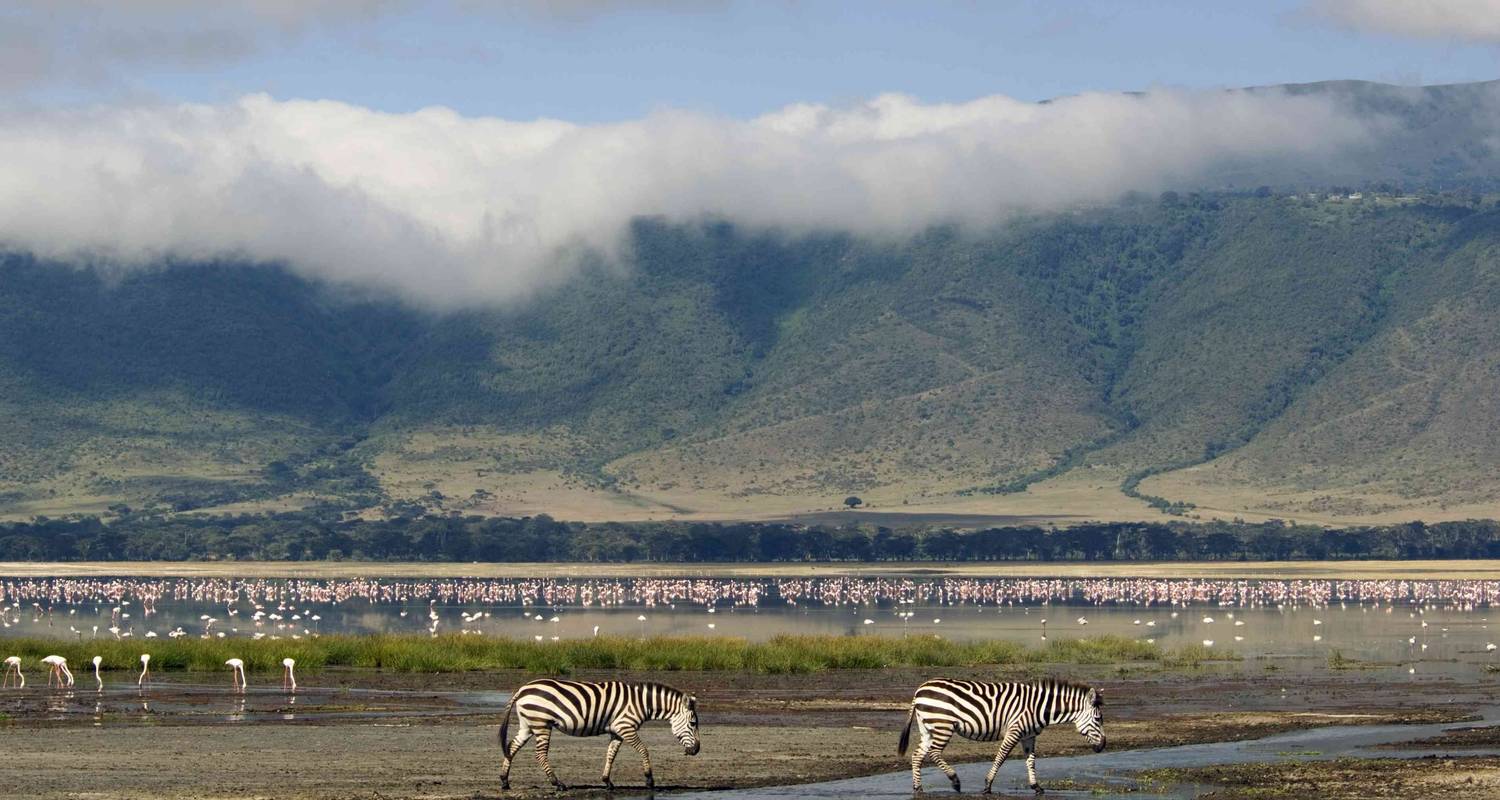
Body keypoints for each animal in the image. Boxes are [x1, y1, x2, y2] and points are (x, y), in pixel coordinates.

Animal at [498, 675, 696, 786]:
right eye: (693, 723)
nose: (696, 750)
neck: (641, 703)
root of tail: (522, 689)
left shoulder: (617, 731)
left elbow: (611, 755)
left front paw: (607, 781)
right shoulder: (625, 726)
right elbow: (643, 750)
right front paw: (649, 779)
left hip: (528, 725)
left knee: (511, 747)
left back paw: (504, 780)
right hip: (541, 724)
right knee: (540, 754)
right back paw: (557, 783)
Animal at [894, 675, 1110, 792]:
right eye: (1098, 719)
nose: (1103, 746)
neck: (1039, 707)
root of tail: (919, 690)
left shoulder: (1029, 736)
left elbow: (1031, 761)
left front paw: (1036, 787)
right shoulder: (1015, 730)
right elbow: (1001, 757)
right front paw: (988, 785)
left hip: (928, 728)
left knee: (917, 755)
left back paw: (918, 788)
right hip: (942, 725)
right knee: (934, 753)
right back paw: (955, 781)